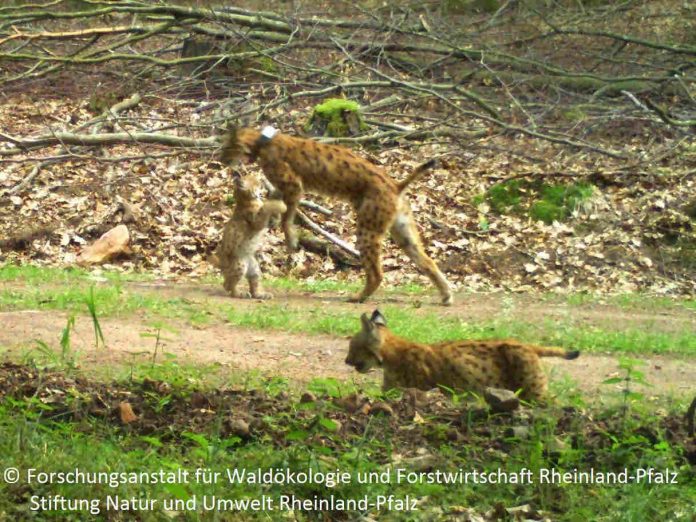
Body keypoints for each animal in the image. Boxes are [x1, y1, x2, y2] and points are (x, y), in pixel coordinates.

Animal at [220, 126, 454, 304]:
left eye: (226, 147)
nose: (220, 159)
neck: (262, 142)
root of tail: (396, 185)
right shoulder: (286, 187)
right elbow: (277, 201)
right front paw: (275, 218)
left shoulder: (294, 185)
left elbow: (288, 215)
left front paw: (290, 238)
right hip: (403, 232)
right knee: (428, 262)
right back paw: (446, 296)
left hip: (367, 228)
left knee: (377, 273)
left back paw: (359, 298)